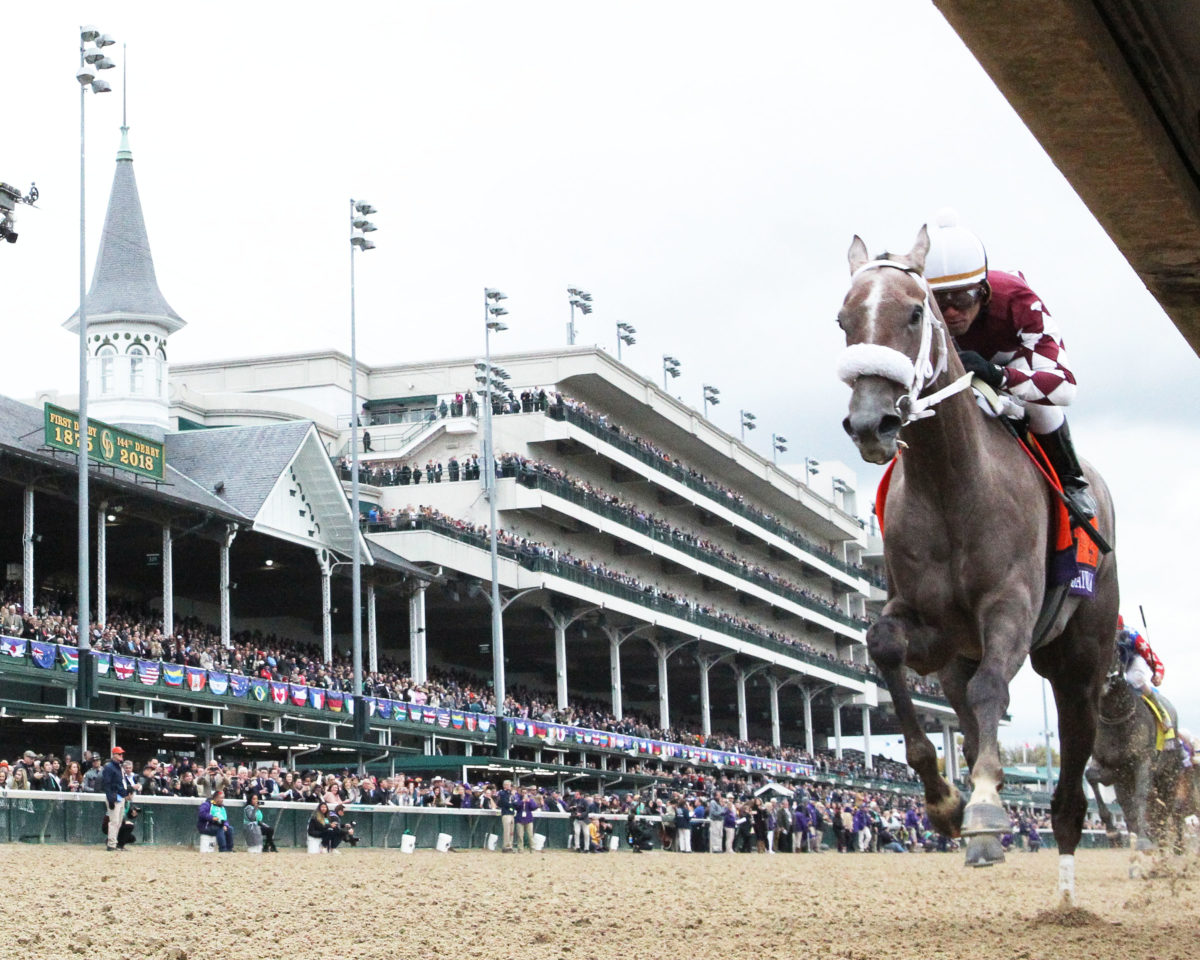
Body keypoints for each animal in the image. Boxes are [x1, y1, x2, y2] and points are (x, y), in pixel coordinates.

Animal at [835, 229, 1113, 902]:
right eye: (844, 320)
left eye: (915, 313)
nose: (871, 422)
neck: (952, 484)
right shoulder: (930, 626)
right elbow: (885, 646)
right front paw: (943, 802)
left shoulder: (1010, 605)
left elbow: (993, 689)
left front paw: (985, 808)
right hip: (959, 656)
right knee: (964, 710)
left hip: (1080, 663)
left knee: (1071, 772)